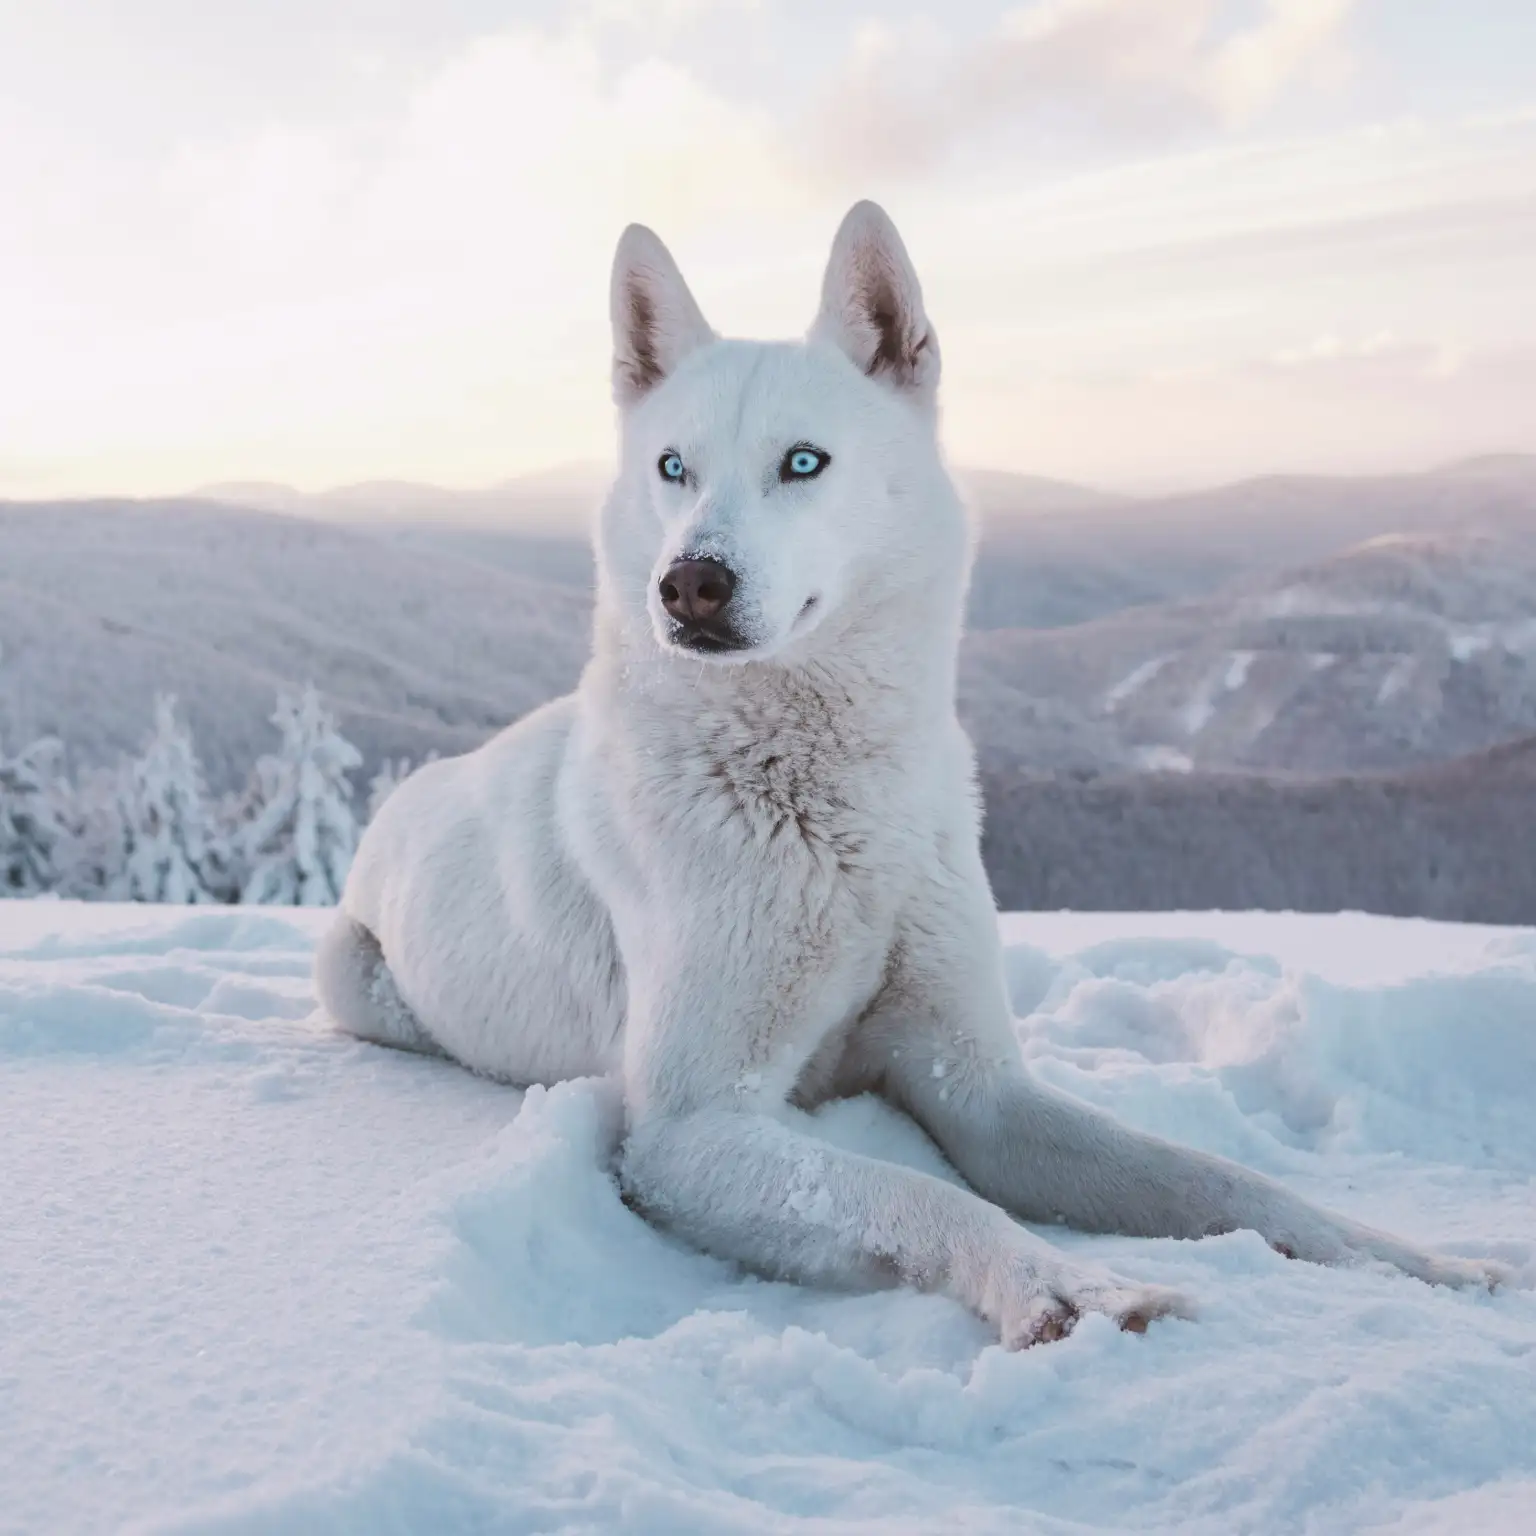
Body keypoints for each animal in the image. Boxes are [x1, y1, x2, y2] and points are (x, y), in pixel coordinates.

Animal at [317, 202, 1504, 1345]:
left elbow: (1224, 1182)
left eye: (804, 462)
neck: (832, 811)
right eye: (672, 468)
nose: (689, 584)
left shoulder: (980, 1089)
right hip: (355, 979)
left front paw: (1416, 1262)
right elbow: (925, 1195)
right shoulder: (693, 1129)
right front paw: (1066, 1287)